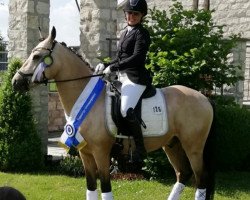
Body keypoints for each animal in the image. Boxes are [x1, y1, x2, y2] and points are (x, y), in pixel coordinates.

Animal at [11, 27, 215, 200]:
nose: (16, 82)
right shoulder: (85, 154)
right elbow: (91, 188)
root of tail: (204, 99)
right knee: (183, 174)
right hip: (172, 144)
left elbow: (106, 189)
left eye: (37, 56)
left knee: (200, 178)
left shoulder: (101, 153)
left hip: (193, 147)